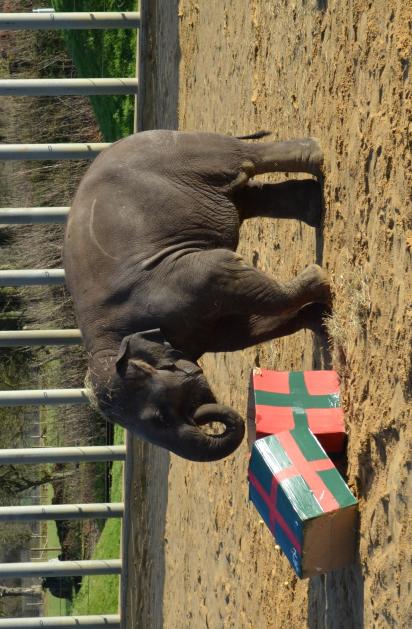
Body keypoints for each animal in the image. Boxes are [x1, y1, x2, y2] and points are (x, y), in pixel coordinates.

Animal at [64, 130, 334, 462]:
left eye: (160, 417)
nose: (203, 411)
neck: (107, 344)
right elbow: (241, 331)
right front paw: (321, 321)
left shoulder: (174, 282)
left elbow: (223, 271)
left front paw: (320, 280)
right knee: (249, 197)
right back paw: (315, 207)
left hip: (189, 155)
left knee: (245, 160)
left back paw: (317, 157)